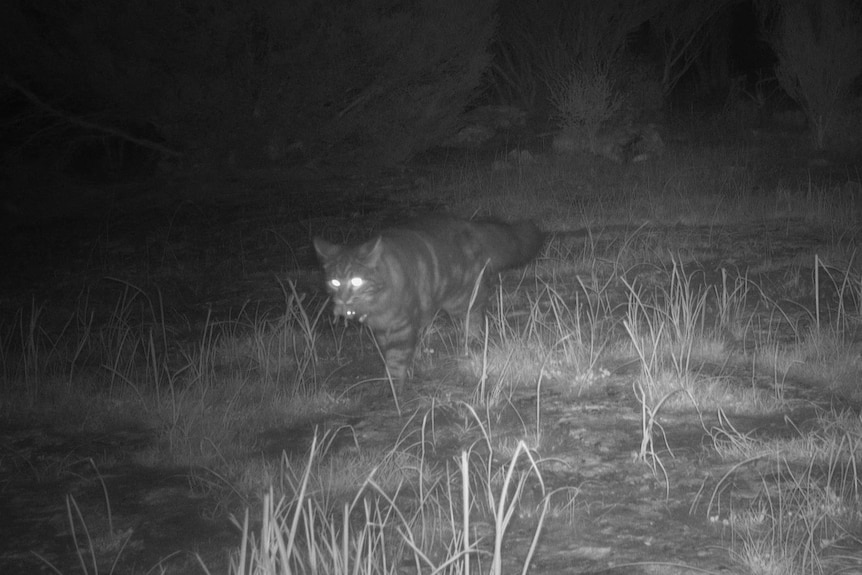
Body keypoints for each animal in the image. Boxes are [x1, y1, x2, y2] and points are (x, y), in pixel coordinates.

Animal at [314, 215, 544, 388]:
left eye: (356, 280)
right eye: (335, 281)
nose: (344, 298)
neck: (376, 301)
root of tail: (467, 224)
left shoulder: (401, 325)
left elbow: (396, 359)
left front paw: (394, 387)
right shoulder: (381, 330)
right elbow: (391, 353)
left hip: (460, 296)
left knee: (476, 312)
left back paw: (471, 339)